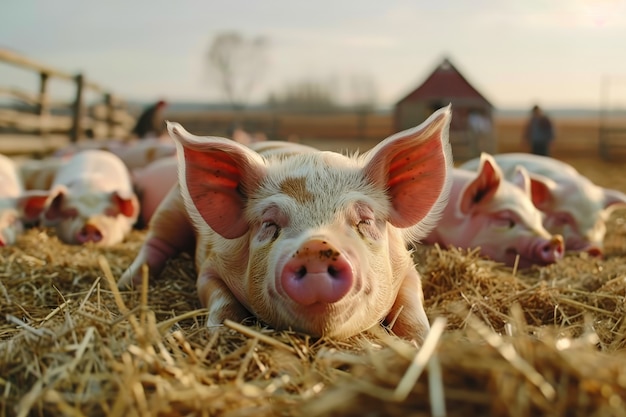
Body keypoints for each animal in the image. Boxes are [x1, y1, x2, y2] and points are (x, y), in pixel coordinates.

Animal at [118, 106, 454, 342]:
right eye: (269, 224)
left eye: (365, 220)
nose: (317, 246)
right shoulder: (212, 265)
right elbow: (219, 300)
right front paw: (219, 334)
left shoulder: (407, 268)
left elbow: (411, 307)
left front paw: (422, 340)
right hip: (172, 206)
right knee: (156, 242)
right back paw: (127, 282)